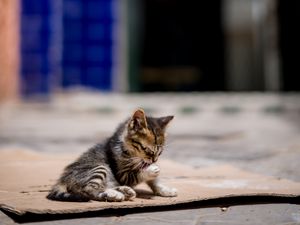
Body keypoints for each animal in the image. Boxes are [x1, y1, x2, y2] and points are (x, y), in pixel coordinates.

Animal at [47, 109, 177, 202]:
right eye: (147, 150)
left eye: (160, 152)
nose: (154, 160)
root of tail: (63, 178)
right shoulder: (122, 175)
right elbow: (138, 174)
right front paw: (151, 169)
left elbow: (154, 181)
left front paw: (164, 190)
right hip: (99, 167)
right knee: (87, 190)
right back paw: (114, 194)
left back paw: (124, 191)